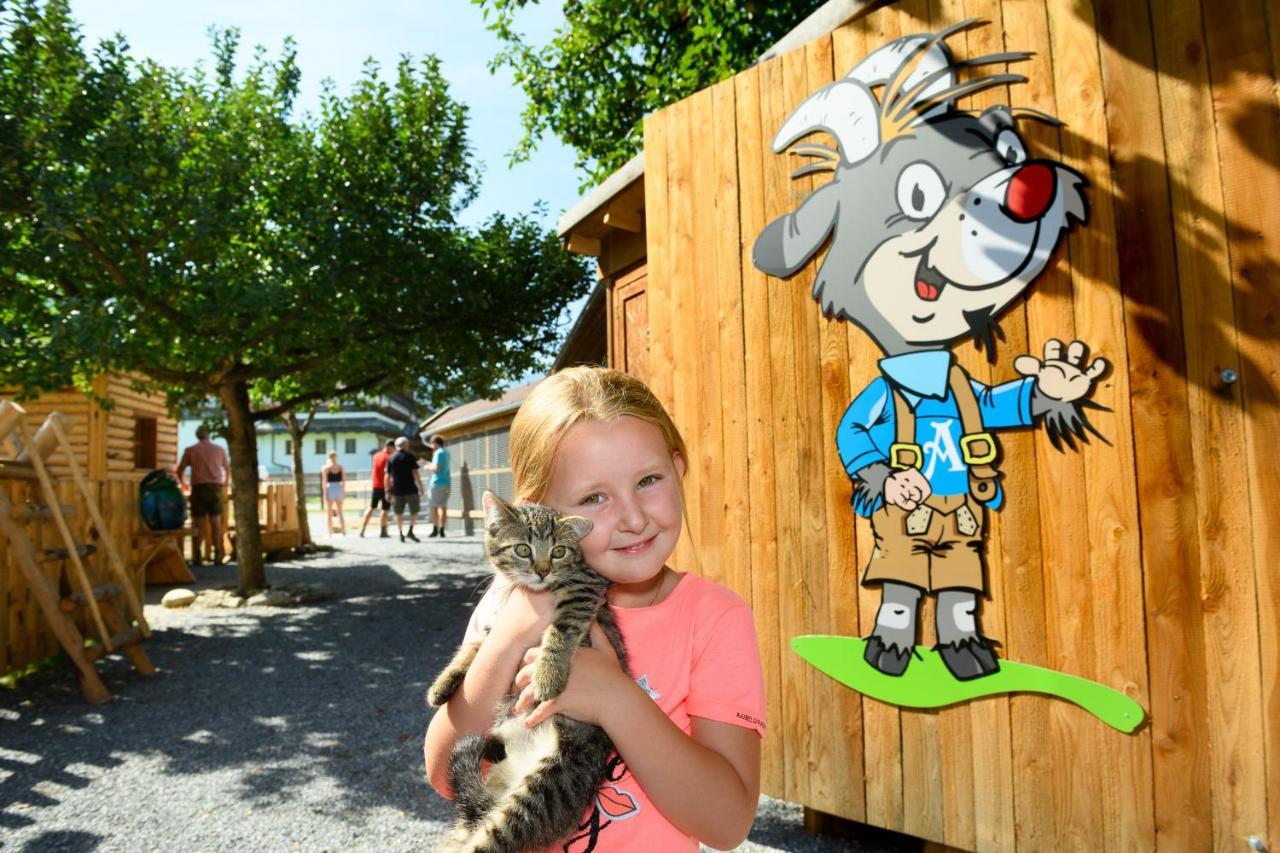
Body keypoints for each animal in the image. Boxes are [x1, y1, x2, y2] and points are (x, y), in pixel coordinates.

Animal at [430, 489, 629, 845]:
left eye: (558, 551)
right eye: (523, 549)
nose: (542, 570)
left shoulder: (585, 588)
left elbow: (561, 631)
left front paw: (548, 675)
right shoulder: (499, 621)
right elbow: (476, 646)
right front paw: (443, 683)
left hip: (544, 792)